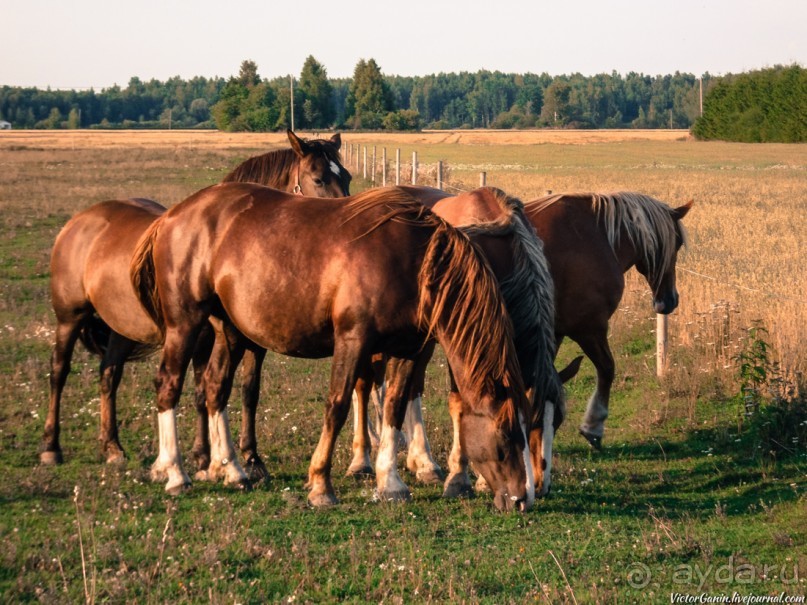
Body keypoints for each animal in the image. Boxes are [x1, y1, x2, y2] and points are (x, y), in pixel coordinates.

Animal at [40, 130, 350, 464]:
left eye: (346, 176)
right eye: (317, 179)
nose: (345, 217)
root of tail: (81, 220)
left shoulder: (250, 344)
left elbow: (247, 391)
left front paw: (248, 456)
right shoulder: (202, 341)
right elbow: (204, 391)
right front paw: (205, 456)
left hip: (123, 328)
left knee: (109, 373)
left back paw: (112, 446)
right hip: (70, 318)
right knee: (58, 371)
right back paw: (51, 447)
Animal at [131, 183, 536, 510]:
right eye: (505, 435)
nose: (523, 499)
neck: (412, 262)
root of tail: (173, 215)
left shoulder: (406, 349)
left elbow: (393, 407)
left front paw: (391, 483)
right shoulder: (353, 340)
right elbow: (337, 407)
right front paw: (321, 485)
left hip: (229, 330)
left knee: (216, 387)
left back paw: (232, 470)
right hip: (185, 324)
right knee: (168, 386)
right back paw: (175, 473)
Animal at [348, 186, 580, 498]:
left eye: (559, 420)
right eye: (530, 419)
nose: (542, 485)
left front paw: (482, 478)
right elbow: (461, 403)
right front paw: (459, 478)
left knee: (411, 387)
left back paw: (423, 462)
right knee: (363, 386)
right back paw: (362, 459)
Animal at [524, 191, 696, 446]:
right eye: (678, 242)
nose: (670, 300)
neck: (593, 237)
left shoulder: (555, 332)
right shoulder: (589, 327)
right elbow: (607, 368)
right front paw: (593, 426)